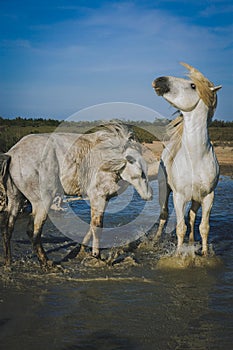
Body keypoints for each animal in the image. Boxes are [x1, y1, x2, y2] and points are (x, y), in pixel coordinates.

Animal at [152, 62, 221, 254]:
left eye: (192, 85)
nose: (159, 80)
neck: (196, 157)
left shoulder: (208, 197)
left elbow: (203, 227)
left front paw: (204, 254)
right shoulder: (179, 197)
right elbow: (180, 227)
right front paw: (178, 254)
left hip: (196, 199)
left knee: (191, 217)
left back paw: (191, 242)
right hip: (165, 191)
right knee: (164, 215)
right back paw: (156, 240)